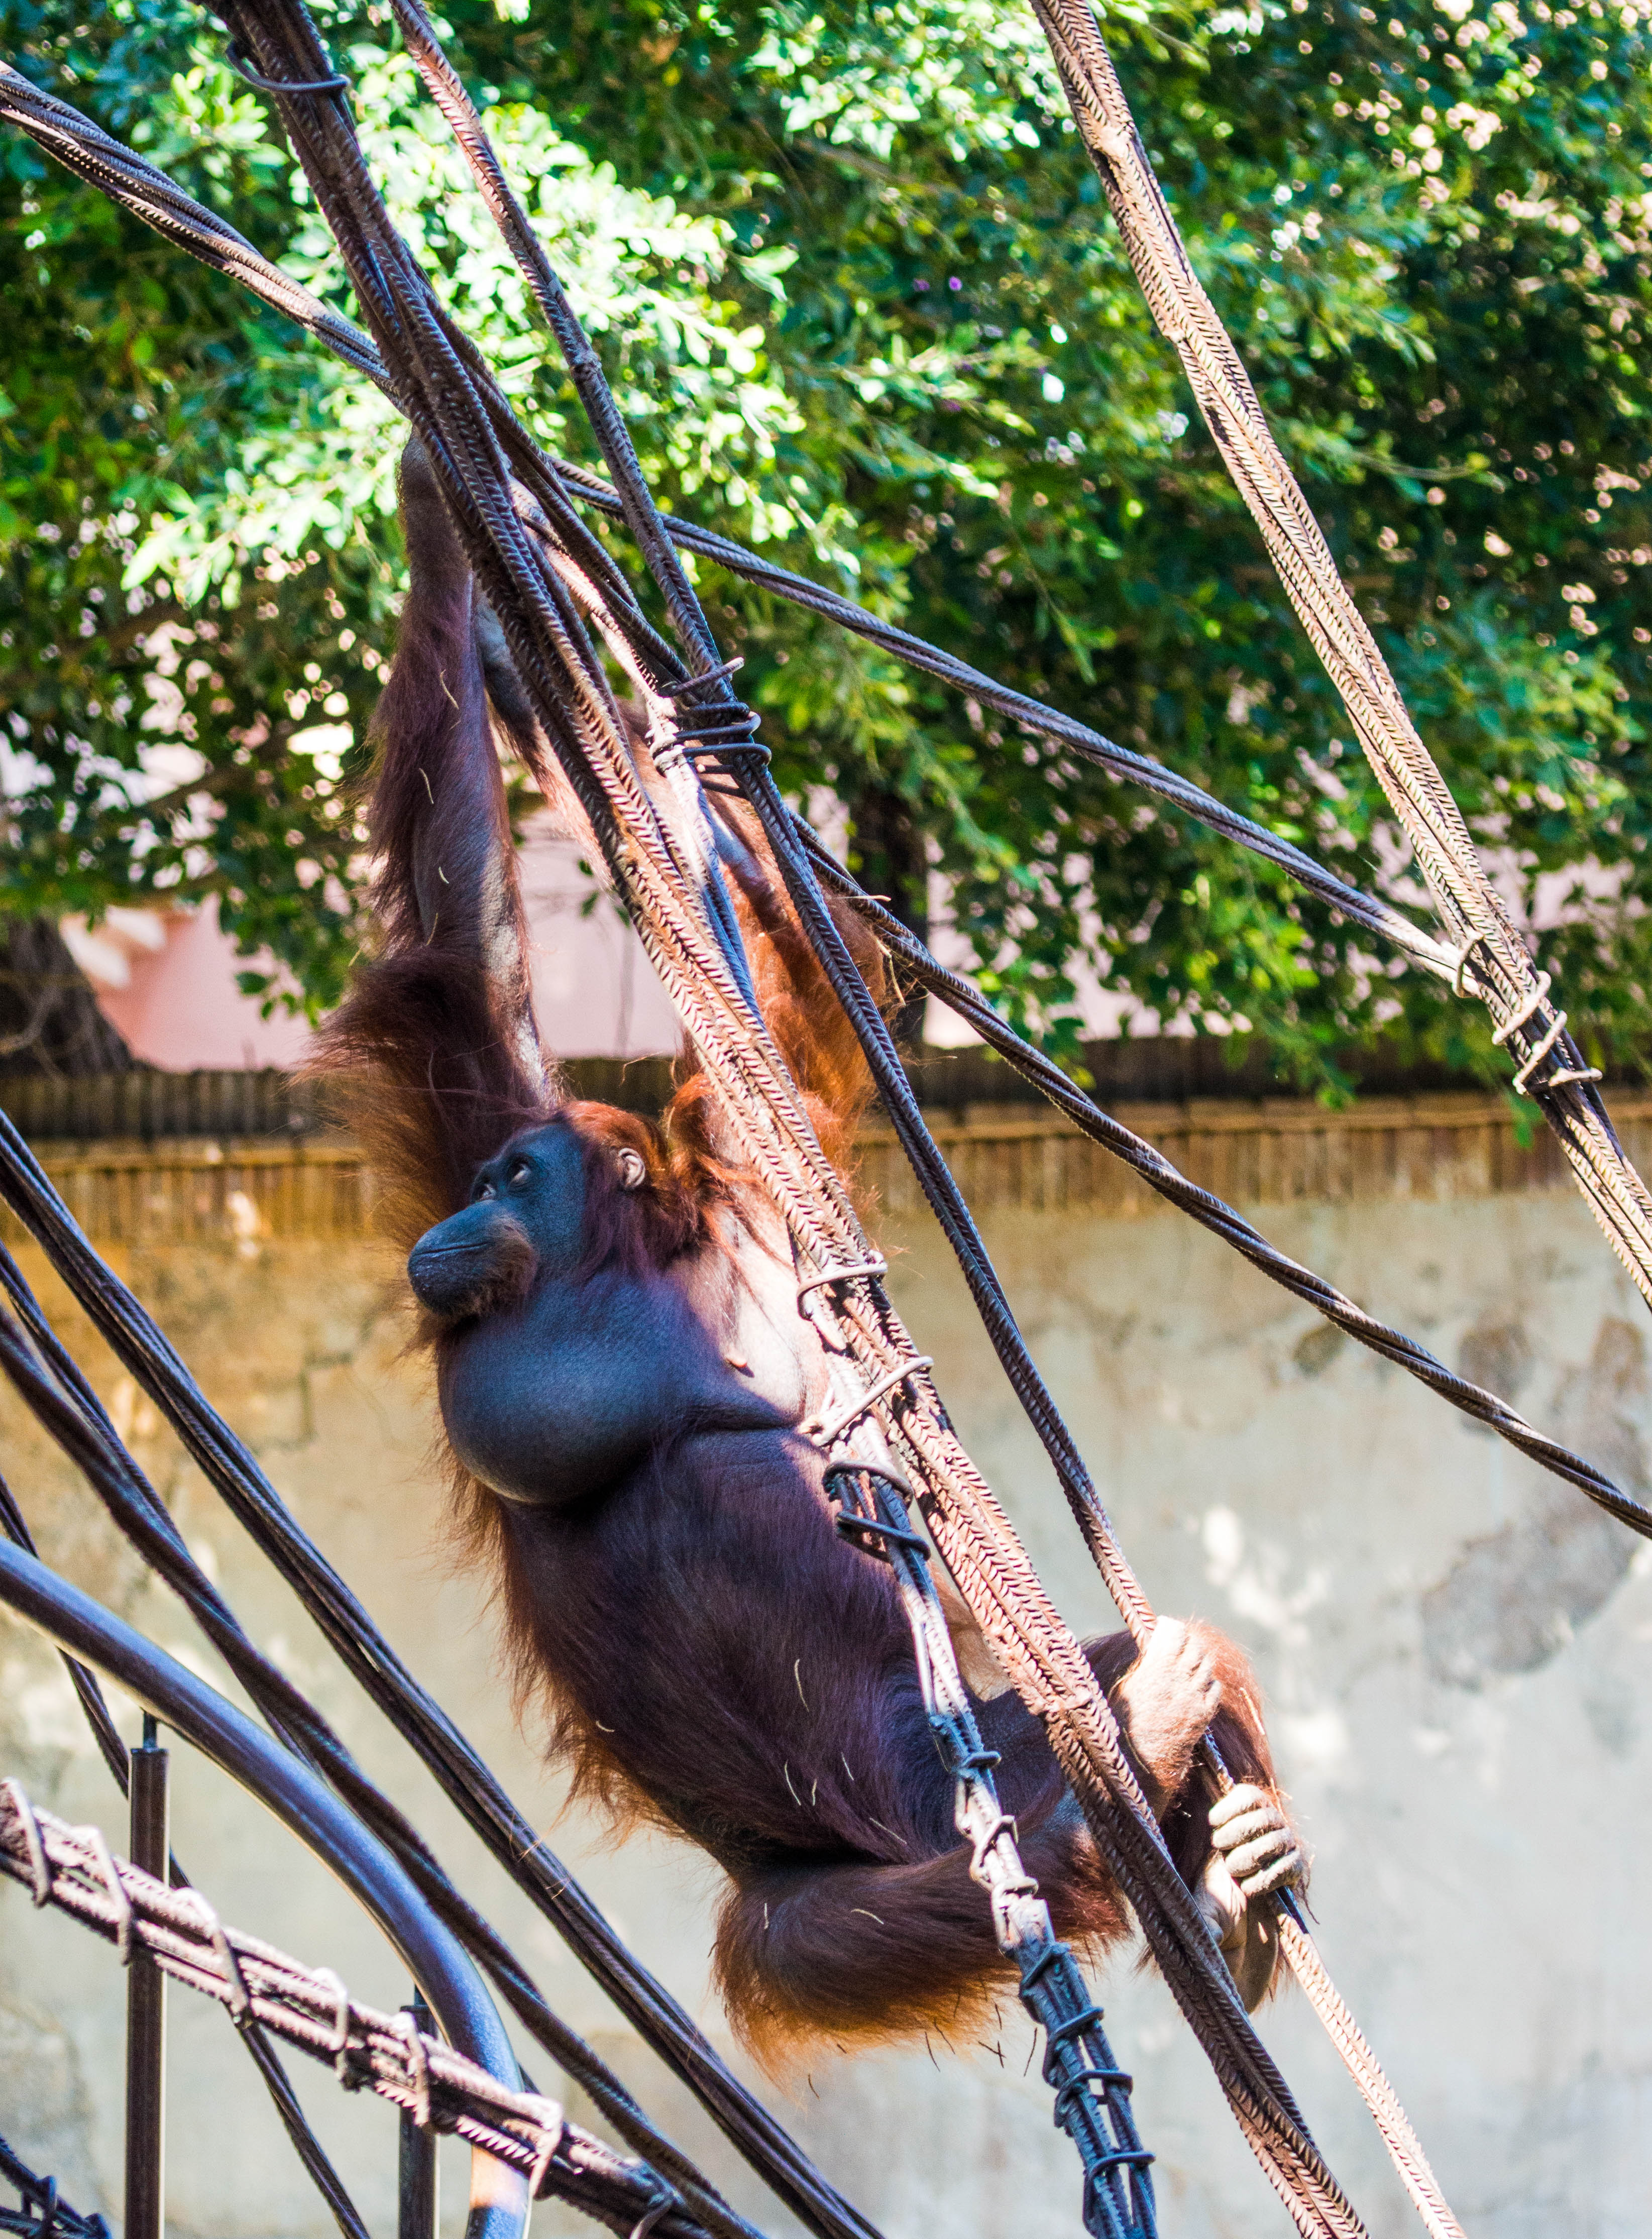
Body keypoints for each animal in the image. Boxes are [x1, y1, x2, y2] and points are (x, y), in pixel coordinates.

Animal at [315, 438, 1304, 2067]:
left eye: (516, 1179)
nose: (458, 1222)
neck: (624, 1273)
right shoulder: (486, 1100)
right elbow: (462, 922)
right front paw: (443, 508)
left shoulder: (759, 1206)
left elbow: (762, 995)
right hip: (845, 1863)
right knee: (846, 1922)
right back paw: (1163, 1816)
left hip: (983, 1757)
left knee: (1096, 1721)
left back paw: (1207, 1832)